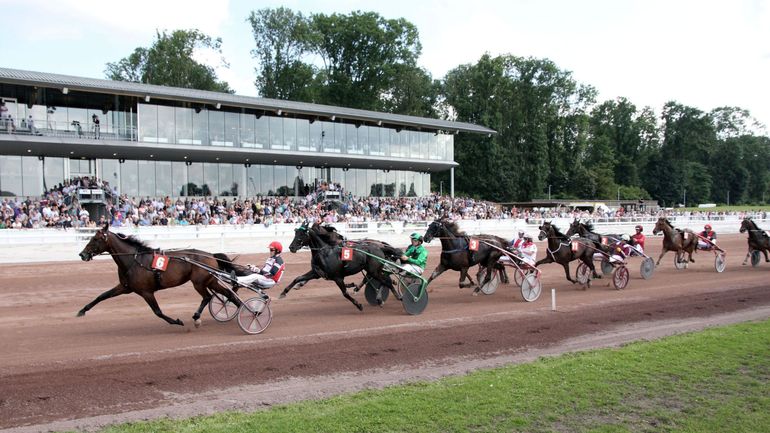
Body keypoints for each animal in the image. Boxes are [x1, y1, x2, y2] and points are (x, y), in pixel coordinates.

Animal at [78, 223, 238, 324]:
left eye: (95, 239)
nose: (82, 254)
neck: (133, 261)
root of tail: (211, 255)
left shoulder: (146, 292)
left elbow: (158, 312)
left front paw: (177, 321)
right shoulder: (124, 287)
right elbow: (102, 296)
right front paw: (82, 311)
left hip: (199, 282)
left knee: (207, 297)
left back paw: (197, 316)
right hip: (211, 281)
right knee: (228, 295)